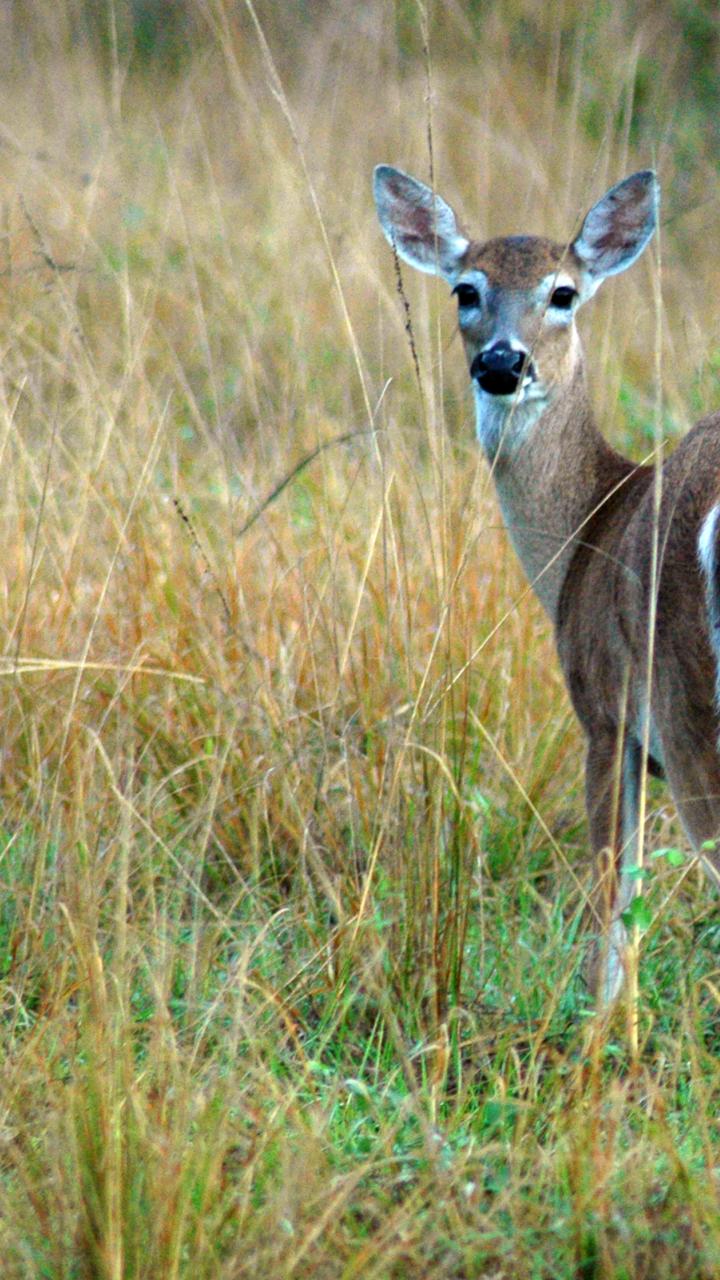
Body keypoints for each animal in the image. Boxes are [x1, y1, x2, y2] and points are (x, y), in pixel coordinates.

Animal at [373, 162, 720, 1000]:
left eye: (563, 293)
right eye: (466, 289)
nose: (503, 364)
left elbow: (612, 914)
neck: (586, 530)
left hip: (690, 704)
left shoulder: (605, 713)